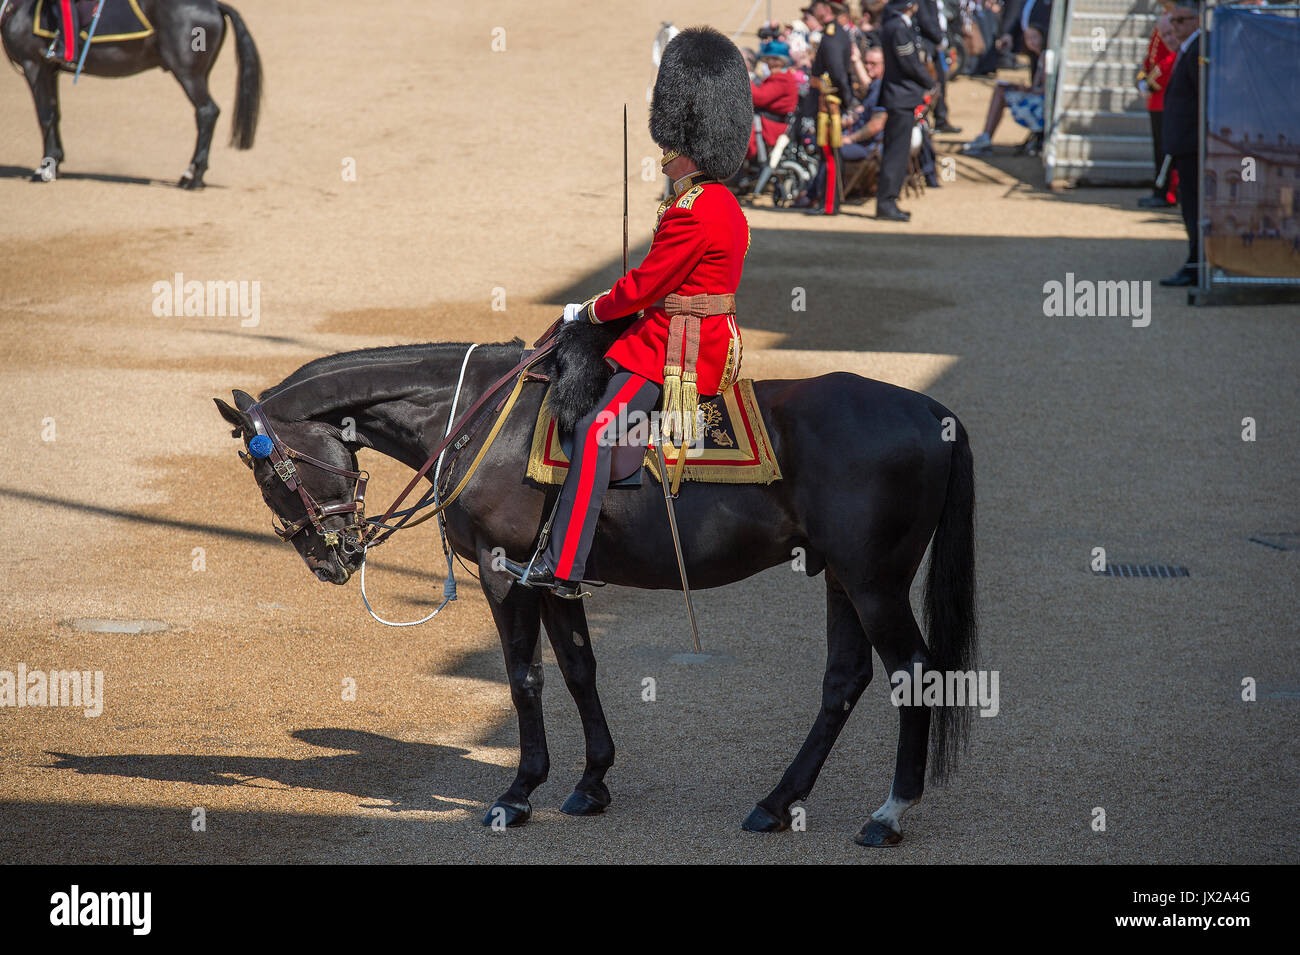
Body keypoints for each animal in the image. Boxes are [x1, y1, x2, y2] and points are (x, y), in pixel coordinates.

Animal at [1, 0, 261, 187]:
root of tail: (214, 5)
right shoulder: (50, 70)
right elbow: (55, 113)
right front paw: (54, 162)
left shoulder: (34, 66)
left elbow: (45, 116)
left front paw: (44, 169)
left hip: (188, 74)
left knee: (206, 112)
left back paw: (191, 176)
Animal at [215, 335, 977, 841]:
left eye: (268, 470)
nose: (330, 559)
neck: (482, 424)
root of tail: (930, 408)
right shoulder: (555, 577)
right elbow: (579, 669)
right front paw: (590, 782)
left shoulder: (504, 573)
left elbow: (524, 676)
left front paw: (520, 791)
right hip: (843, 577)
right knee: (844, 678)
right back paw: (778, 800)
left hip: (873, 581)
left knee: (913, 671)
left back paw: (890, 812)